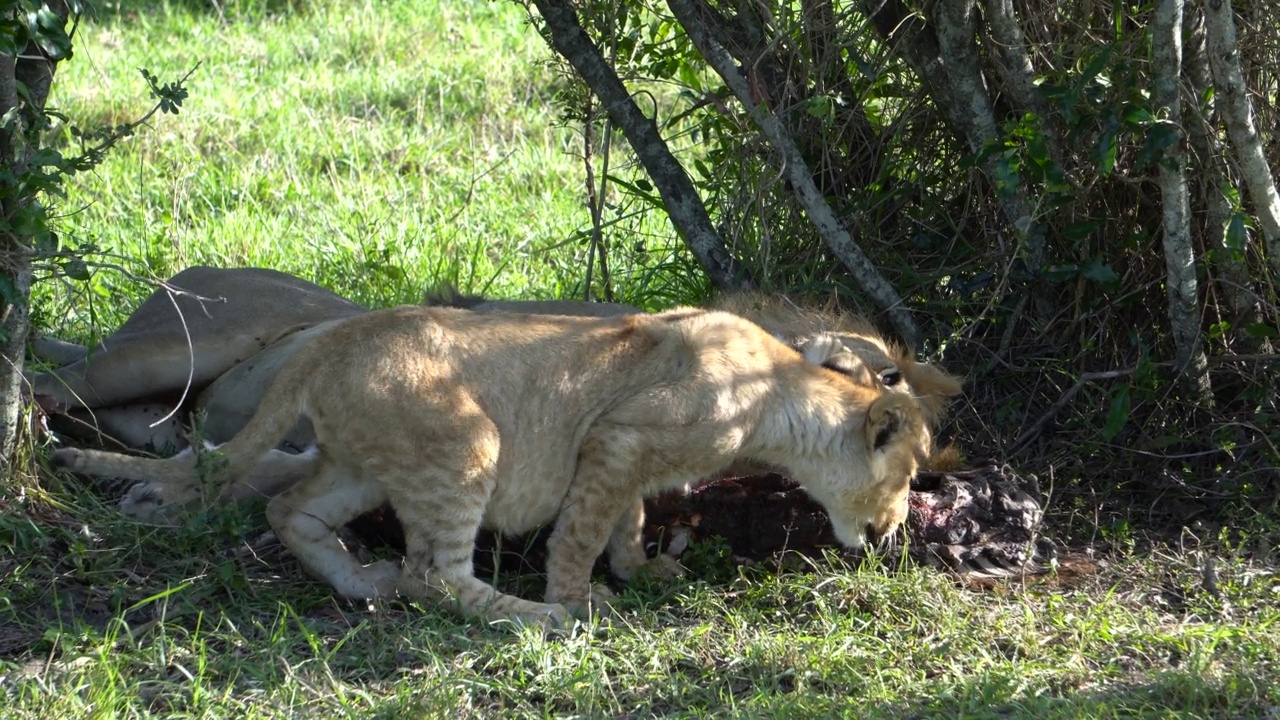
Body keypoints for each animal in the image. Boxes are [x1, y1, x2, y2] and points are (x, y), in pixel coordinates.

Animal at [55, 304, 926, 625]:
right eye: (909, 474)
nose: (896, 526)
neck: (779, 390)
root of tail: (332, 341)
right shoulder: (615, 439)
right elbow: (583, 531)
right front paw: (580, 600)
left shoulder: (626, 455)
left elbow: (629, 521)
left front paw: (643, 570)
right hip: (466, 442)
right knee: (433, 575)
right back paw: (531, 618)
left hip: (361, 463)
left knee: (288, 510)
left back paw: (361, 581)